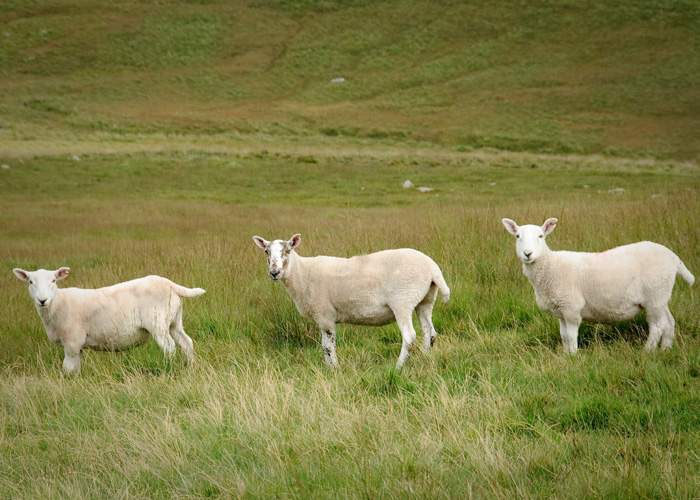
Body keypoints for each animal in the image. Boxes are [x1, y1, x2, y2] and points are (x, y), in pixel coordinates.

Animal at [12, 268, 204, 374]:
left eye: (53, 280)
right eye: (30, 282)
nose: (42, 300)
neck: (57, 303)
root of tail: (169, 284)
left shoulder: (72, 342)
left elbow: (68, 369)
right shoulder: (77, 346)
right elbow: (76, 368)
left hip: (158, 323)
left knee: (169, 347)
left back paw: (169, 369)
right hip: (174, 321)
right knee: (187, 343)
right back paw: (191, 368)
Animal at [252, 233, 448, 368]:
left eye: (287, 251)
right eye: (266, 251)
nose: (274, 272)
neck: (302, 273)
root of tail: (432, 267)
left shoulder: (325, 315)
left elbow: (328, 346)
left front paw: (334, 369)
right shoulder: (322, 317)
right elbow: (324, 345)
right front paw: (328, 368)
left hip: (403, 302)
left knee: (409, 336)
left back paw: (398, 367)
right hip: (426, 300)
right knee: (429, 332)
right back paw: (425, 358)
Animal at [504, 217, 696, 354]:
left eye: (541, 236)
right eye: (517, 236)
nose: (527, 253)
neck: (550, 266)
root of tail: (673, 257)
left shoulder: (571, 308)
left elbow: (571, 336)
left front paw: (573, 356)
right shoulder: (561, 310)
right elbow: (564, 336)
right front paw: (565, 355)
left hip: (654, 295)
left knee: (657, 326)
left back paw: (647, 351)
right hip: (661, 296)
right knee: (669, 322)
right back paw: (666, 349)